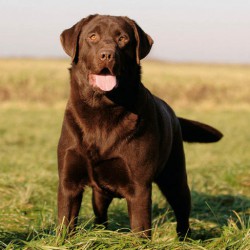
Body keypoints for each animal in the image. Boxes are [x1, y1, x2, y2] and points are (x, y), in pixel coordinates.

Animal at [58, 14, 223, 240]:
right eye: (92, 36)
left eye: (123, 39)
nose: (107, 55)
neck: (102, 109)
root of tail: (172, 112)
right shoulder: (68, 182)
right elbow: (65, 222)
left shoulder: (139, 187)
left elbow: (140, 228)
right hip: (101, 192)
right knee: (101, 213)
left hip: (175, 177)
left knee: (182, 211)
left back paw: (184, 239)